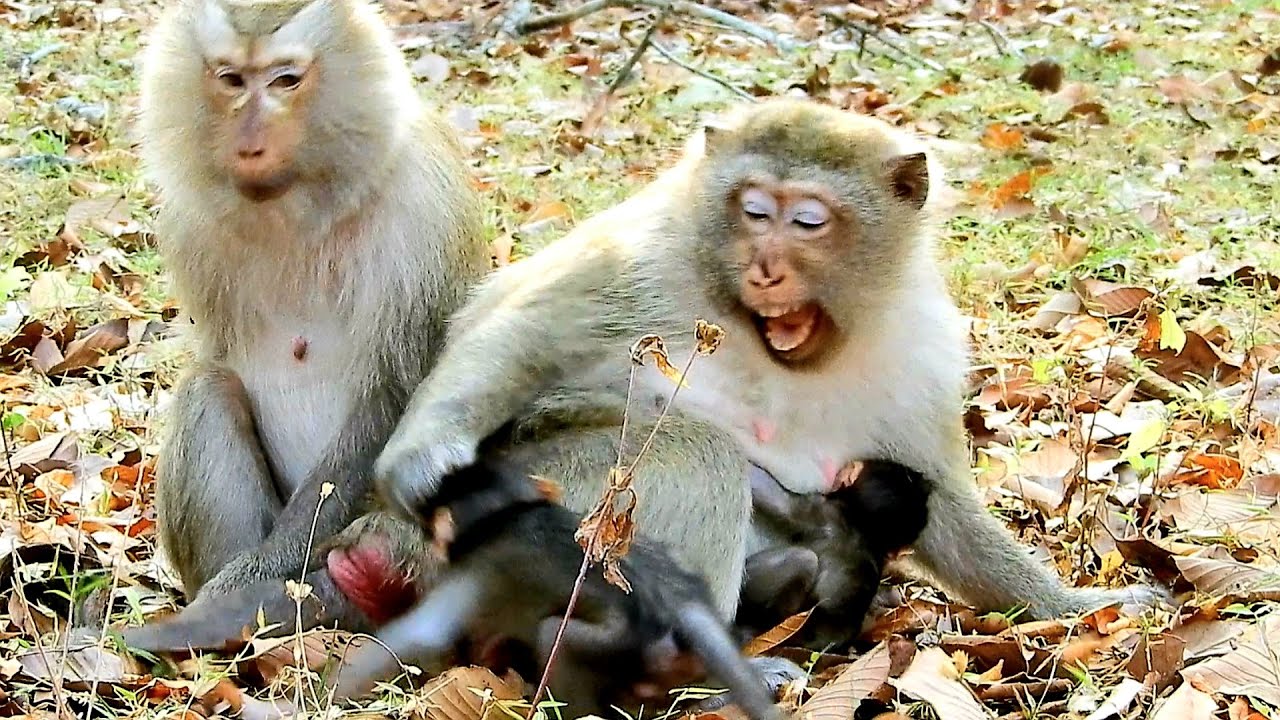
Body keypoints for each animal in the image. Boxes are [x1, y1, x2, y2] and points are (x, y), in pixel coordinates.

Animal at [130, 0, 489, 630]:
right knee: (209, 386)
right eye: (231, 80)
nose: (249, 144)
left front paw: (252, 583)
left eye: (286, 80)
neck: (304, 203)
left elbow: (397, 397)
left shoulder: (422, 210)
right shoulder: (187, 223)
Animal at [326, 460, 784, 720]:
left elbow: (425, 633)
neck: (507, 512)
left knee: (555, 637)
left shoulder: (480, 567)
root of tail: (680, 601)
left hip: (615, 642)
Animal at [372, 98, 1167, 625]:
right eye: (753, 210)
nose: (763, 269)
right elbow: (519, 329)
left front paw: (1077, 605)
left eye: (808, 221)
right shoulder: (649, 257)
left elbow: (939, 504)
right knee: (699, 454)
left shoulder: (924, 352)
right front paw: (421, 459)